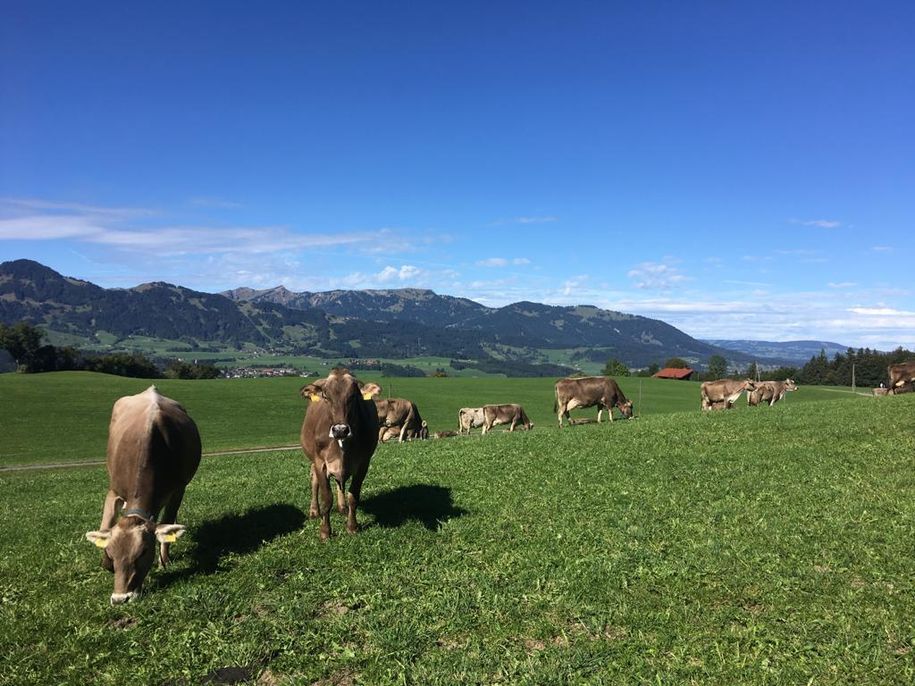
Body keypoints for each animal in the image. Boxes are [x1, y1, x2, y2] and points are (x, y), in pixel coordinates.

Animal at [85, 390, 201, 604]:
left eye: (143, 552)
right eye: (112, 553)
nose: (120, 598)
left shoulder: (178, 489)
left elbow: (167, 522)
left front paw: (164, 561)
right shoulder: (114, 491)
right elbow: (105, 525)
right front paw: (105, 563)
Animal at [300, 368, 380, 540]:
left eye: (353, 396)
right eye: (325, 396)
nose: (340, 430)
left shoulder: (363, 463)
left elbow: (353, 496)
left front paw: (352, 527)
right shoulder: (320, 463)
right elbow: (326, 498)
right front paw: (325, 531)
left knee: (339, 482)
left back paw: (342, 507)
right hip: (313, 460)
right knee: (314, 480)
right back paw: (314, 511)